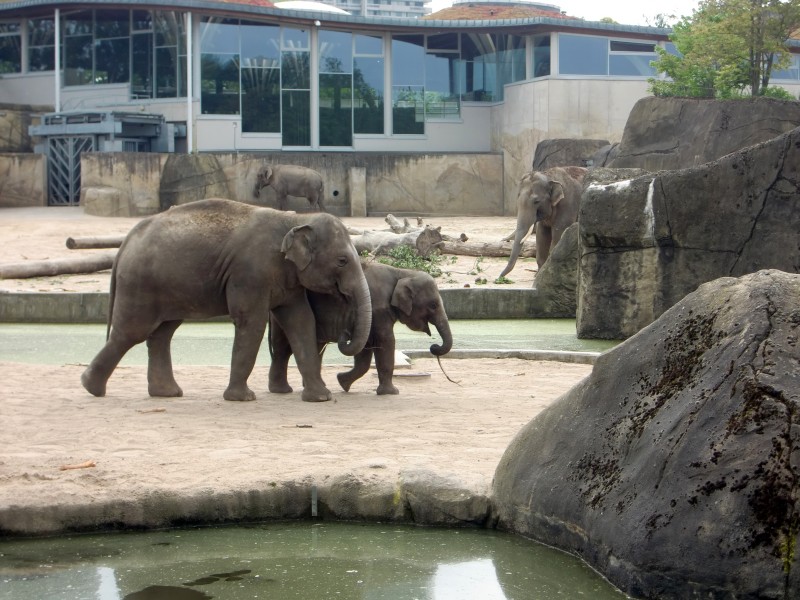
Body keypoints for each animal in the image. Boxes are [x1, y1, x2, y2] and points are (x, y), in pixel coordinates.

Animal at [81, 198, 368, 404]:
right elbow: (252, 322)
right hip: (140, 284)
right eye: (342, 260)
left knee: (162, 333)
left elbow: (301, 322)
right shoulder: (250, 274)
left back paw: (166, 393)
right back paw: (91, 387)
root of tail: (125, 242)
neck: (294, 219)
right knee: (131, 332)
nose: (344, 334)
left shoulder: (290, 279)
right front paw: (242, 399)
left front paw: (321, 397)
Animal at [268, 262, 454, 394]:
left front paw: (343, 383)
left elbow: (365, 349)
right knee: (284, 347)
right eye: (433, 305)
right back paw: (286, 390)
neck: (402, 272)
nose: (434, 346)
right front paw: (392, 392)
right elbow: (386, 341)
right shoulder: (378, 309)